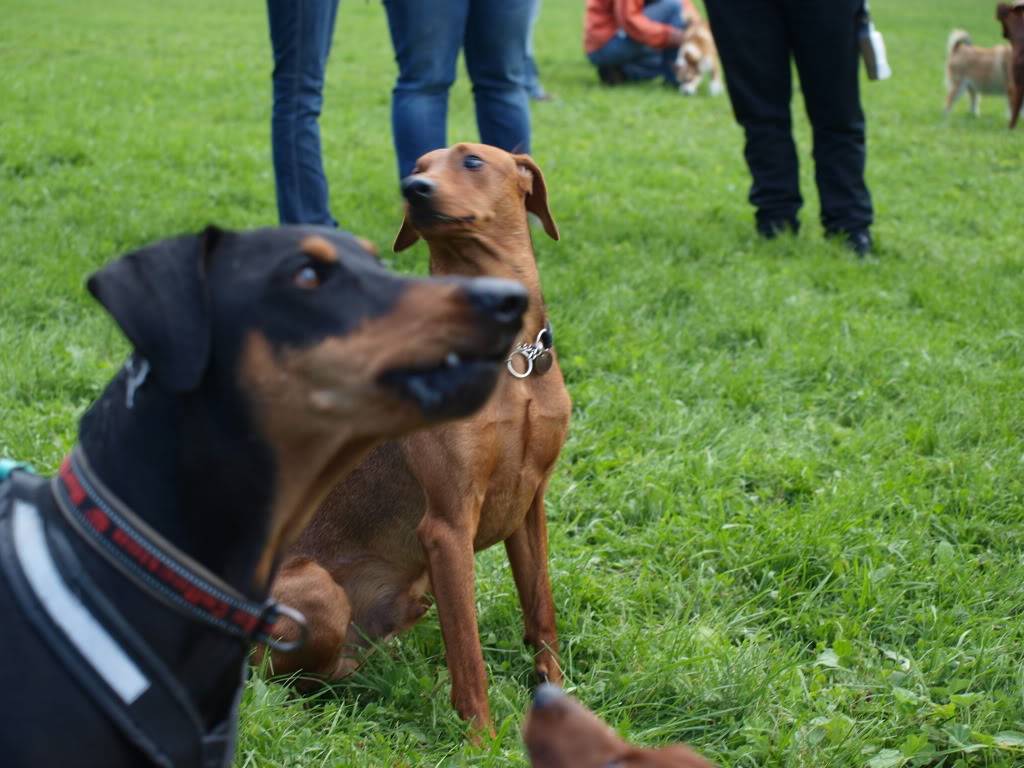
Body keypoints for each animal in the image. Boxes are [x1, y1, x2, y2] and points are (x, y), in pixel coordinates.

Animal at [266, 141, 569, 737]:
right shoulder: (447, 528)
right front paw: (481, 740)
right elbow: (467, 652)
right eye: (417, 167)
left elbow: (540, 608)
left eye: (471, 161)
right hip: (319, 593)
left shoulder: (530, 505)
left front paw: (560, 695)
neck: (512, 365)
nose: (413, 189)